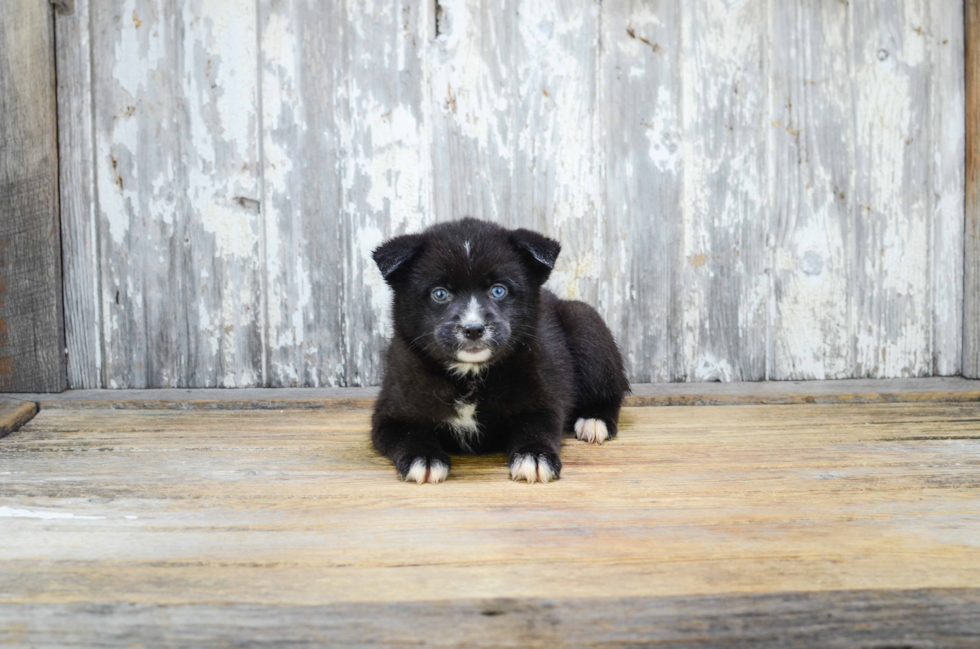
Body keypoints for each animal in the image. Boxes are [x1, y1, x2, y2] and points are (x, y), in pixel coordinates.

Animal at [368, 216, 628, 480]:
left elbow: (536, 428)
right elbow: (409, 434)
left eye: (498, 290)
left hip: (586, 324)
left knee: (610, 391)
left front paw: (534, 456)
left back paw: (594, 420)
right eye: (439, 294)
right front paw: (424, 458)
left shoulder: (542, 400)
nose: (473, 329)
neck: (469, 376)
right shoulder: (391, 414)